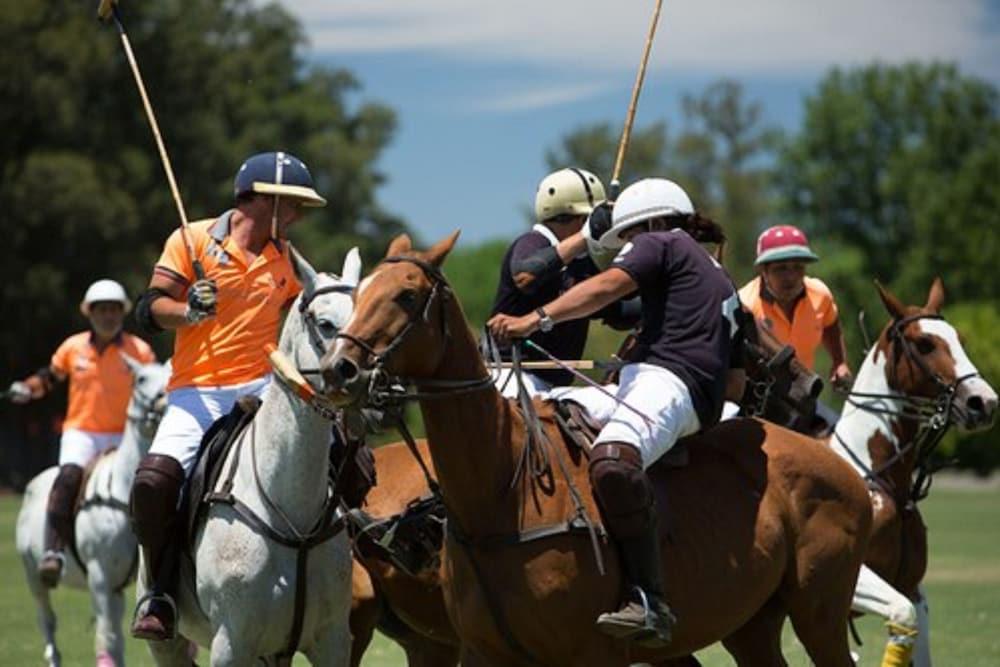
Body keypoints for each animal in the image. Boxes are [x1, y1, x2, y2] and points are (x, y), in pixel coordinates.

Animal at [15, 360, 170, 667]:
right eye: (140, 379)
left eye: (171, 375)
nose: (163, 400)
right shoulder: (101, 576)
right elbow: (108, 637)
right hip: (33, 575)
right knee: (47, 622)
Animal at [141, 249, 360, 667]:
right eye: (324, 323)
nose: (368, 373)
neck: (293, 513)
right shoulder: (232, 642)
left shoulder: (333, 640)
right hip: (167, 642)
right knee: (154, 478)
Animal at [324, 232, 872, 664]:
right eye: (361, 293)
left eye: (407, 296)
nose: (338, 369)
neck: (501, 491)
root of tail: (844, 468)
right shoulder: (482, 651)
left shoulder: (594, 653)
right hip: (752, 623)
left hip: (819, 612)